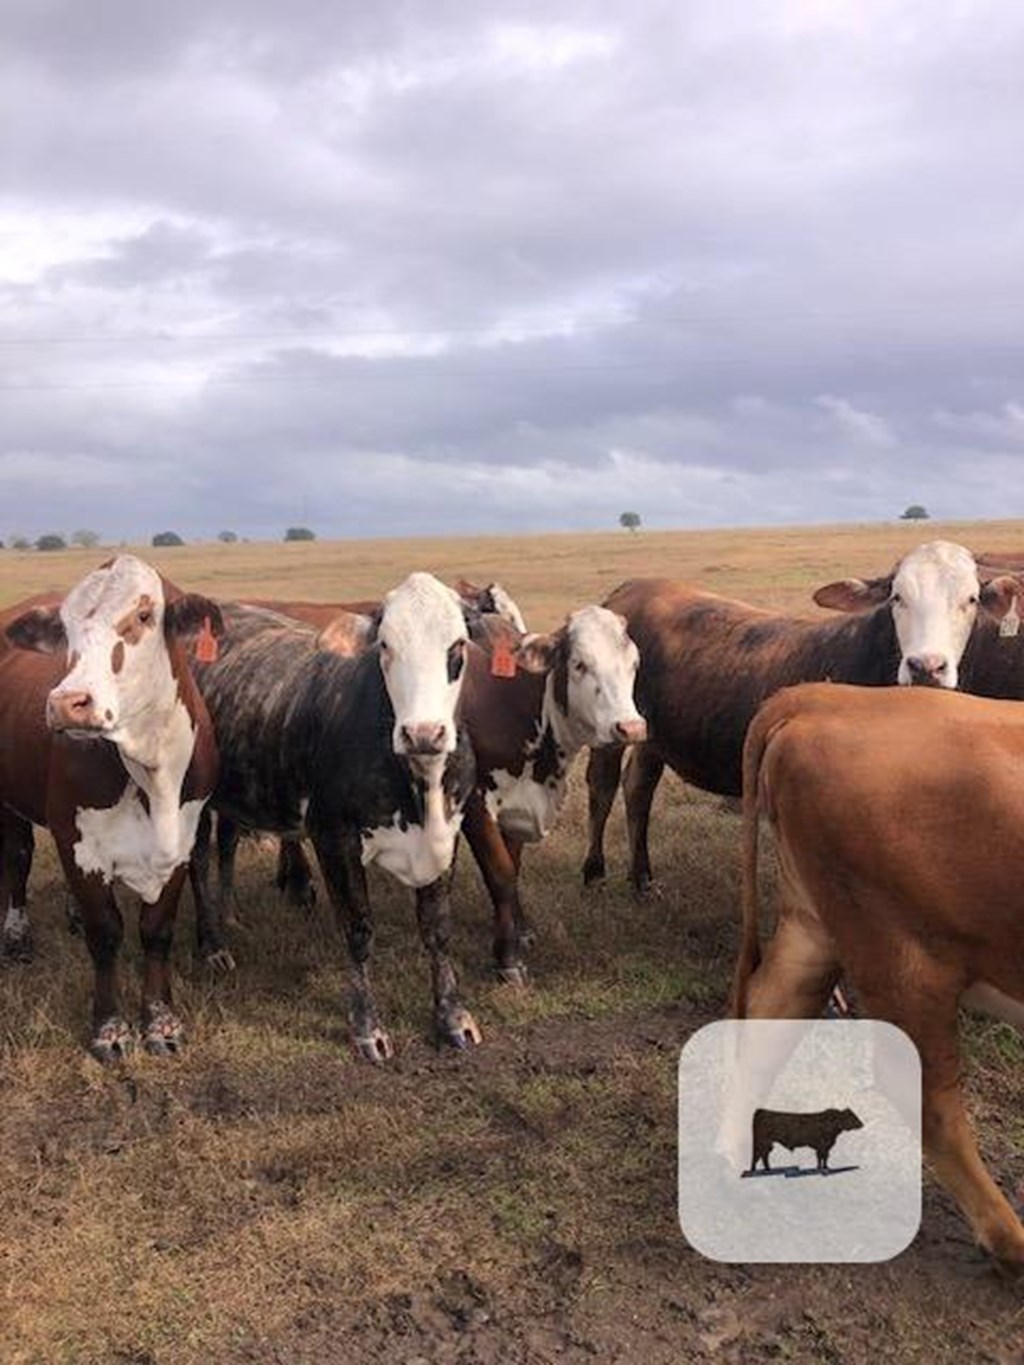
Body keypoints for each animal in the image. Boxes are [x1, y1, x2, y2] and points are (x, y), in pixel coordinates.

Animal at [0, 551, 222, 1053]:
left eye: (142, 616)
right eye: (65, 630)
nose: (67, 703)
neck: (151, 769)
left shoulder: (183, 837)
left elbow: (156, 931)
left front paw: (160, 1021)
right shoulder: (78, 841)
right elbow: (105, 932)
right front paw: (109, 1027)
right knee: (17, 856)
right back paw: (16, 933)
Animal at [581, 537, 1021, 900]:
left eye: (971, 600)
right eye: (897, 597)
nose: (926, 666)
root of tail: (630, 590)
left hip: (650, 735)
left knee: (638, 788)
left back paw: (642, 879)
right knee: (602, 787)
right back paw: (594, 873)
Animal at [731, 682, 1024, 1266]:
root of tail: (825, 695)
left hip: (814, 925)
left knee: (769, 1012)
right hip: (903, 954)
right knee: (926, 1093)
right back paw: (1011, 1241)